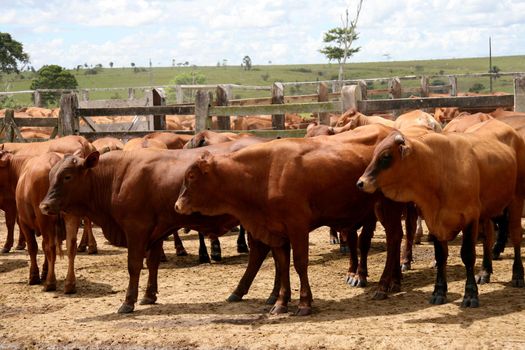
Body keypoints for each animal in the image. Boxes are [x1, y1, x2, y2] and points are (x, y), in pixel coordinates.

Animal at [173, 124, 406, 316]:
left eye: (191, 176)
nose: (177, 205)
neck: (266, 173)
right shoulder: (277, 231)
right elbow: (283, 265)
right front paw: (281, 302)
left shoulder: (297, 227)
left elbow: (300, 263)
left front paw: (304, 303)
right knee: (395, 238)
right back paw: (394, 281)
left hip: (388, 206)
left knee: (394, 238)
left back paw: (384, 285)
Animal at [356, 119, 524, 306]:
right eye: (374, 153)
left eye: (385, 156)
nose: (361, 183)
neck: (440, 170)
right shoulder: (434, 221)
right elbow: (441, 256)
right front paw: (439, 292)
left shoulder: (470, 217)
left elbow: (468, 255)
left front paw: (470, 294)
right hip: (488, 212)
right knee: (488, 238)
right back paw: (484, 272)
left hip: (516, 199)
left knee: (515, 235)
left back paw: (517, 275)